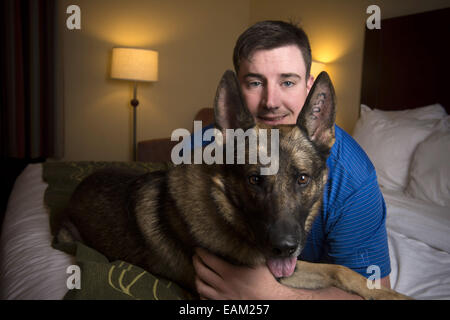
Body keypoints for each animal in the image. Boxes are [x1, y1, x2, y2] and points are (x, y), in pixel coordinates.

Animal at [58, 70, 410, 300]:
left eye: (302, 179)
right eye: (254, 180)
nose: (284, 246)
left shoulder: (287, 269)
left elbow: (340, 271)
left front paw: (389, 295)